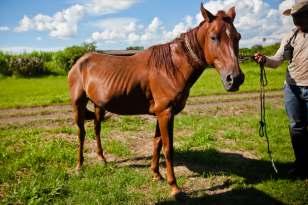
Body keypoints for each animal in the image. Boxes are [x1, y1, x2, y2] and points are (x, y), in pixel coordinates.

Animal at [68, 3, 245, 197]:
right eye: (214, 37)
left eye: (238, 37)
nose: (235, 79)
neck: (171, 68)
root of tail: (79, 61)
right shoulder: (165, 113)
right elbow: (168, 148)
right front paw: (174, 187)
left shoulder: (163, 113)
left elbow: (157, 143)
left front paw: (156, 174)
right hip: (78, 105)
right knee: (81, 134)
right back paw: (79, 166)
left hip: (99, 105)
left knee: (97, 129)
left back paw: (102, 159)